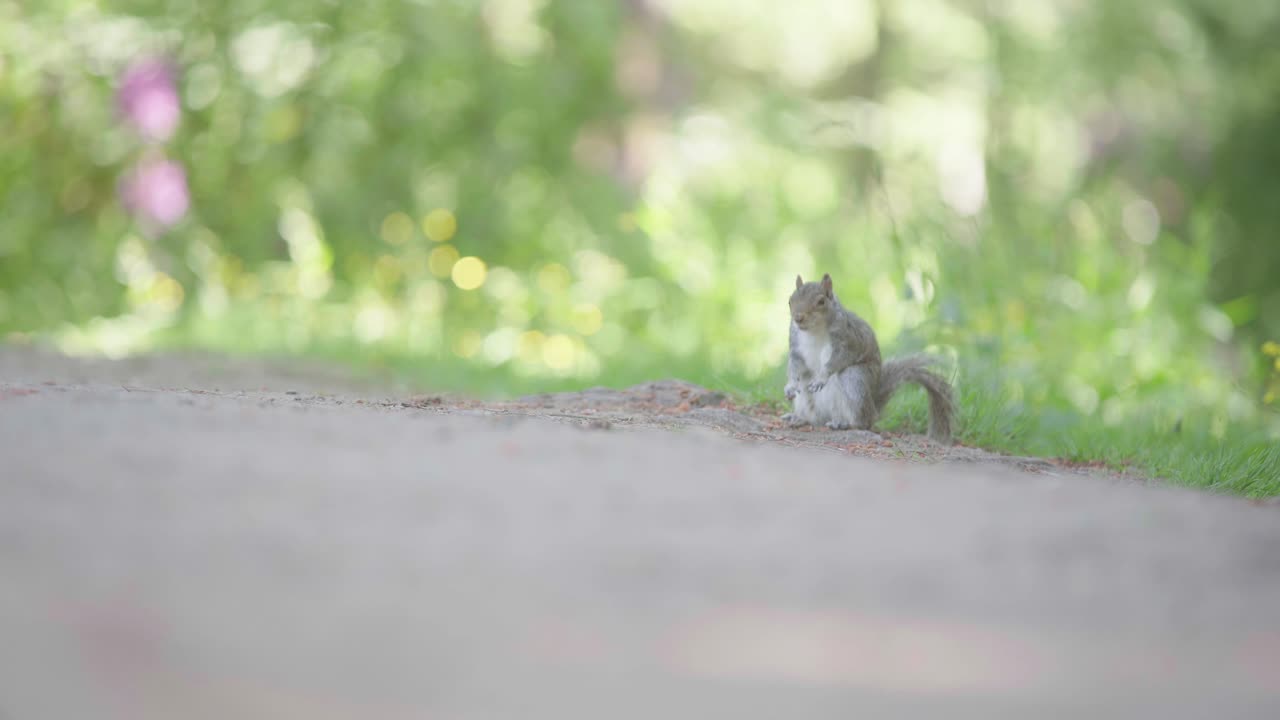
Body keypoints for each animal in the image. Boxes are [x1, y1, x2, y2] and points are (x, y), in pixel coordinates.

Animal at [784, 273, 955, 443]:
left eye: (821, 302)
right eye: (790, 300)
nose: (798, 318)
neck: (814, 331)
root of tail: (873, 405)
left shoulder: (848, 341)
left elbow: (837, 361)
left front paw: (821, 378)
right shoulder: (795, 344)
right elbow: (794, 365)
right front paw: (790, 386)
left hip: (854, 379)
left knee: (863, 421)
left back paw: (845, 424)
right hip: (808, 399)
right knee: (815, 417)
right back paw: (799, 418)